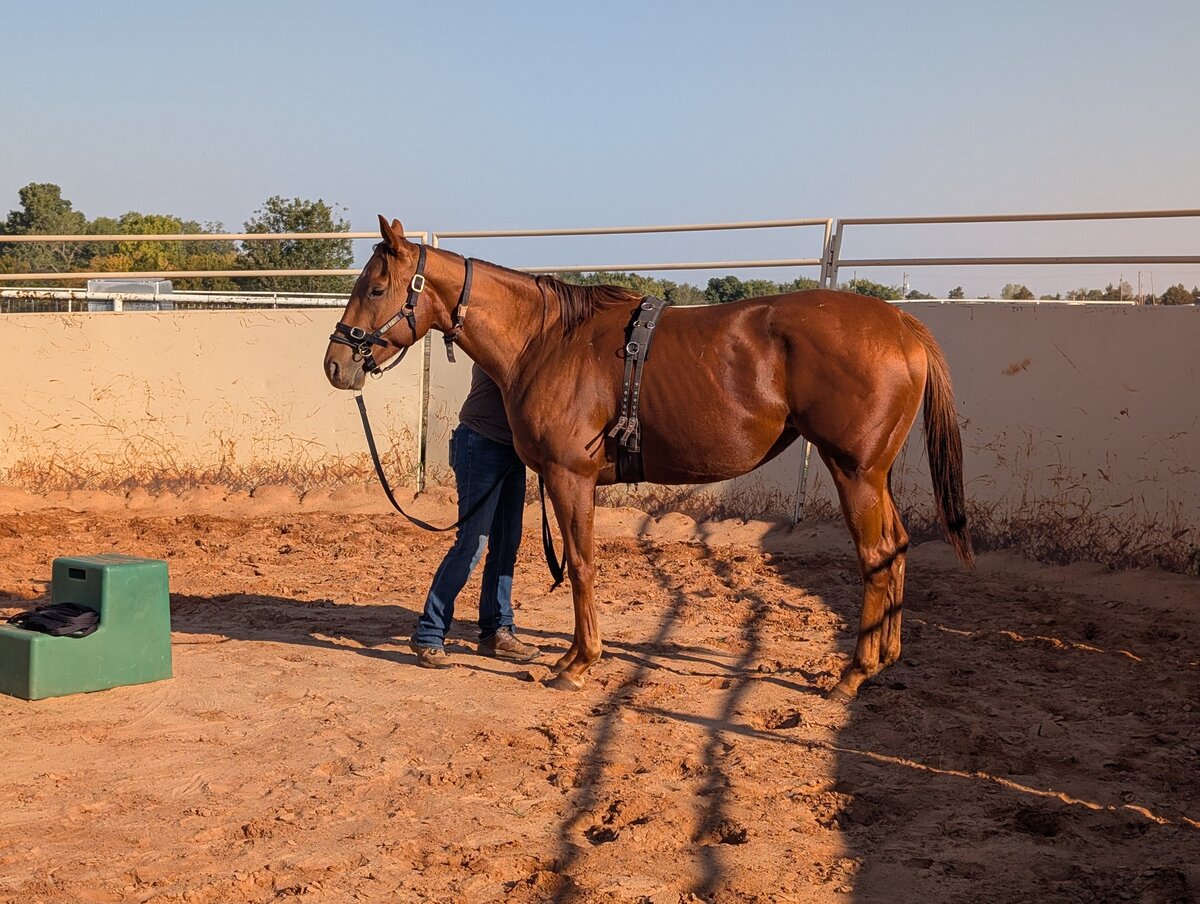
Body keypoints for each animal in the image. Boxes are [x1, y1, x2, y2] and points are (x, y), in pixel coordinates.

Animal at [324, 215, 973, 700]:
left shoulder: (570, 477)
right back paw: (884, 658)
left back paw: (852, 674)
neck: (548, 339)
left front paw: (578, 663)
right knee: (895, 547)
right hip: (871, 474)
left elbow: (581, 565)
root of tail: (901, 323)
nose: (335, 363)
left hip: (855, 471)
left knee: (877, 556)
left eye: (375, 288)